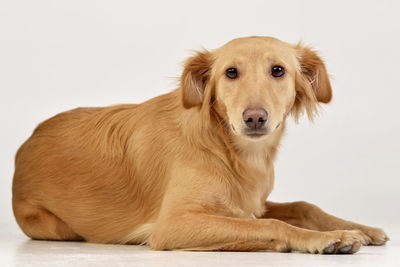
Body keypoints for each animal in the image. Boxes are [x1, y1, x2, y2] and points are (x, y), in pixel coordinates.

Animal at [11, 36, 388, 254]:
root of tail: (26, 142)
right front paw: (324, 238)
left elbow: (304, 206)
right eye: (230, 73)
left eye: (278, 70)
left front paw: (359, 228)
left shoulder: (252, 202)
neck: (229, 149)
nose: (254, 118)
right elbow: (269, 225)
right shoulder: (173, 226)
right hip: (54, 226)